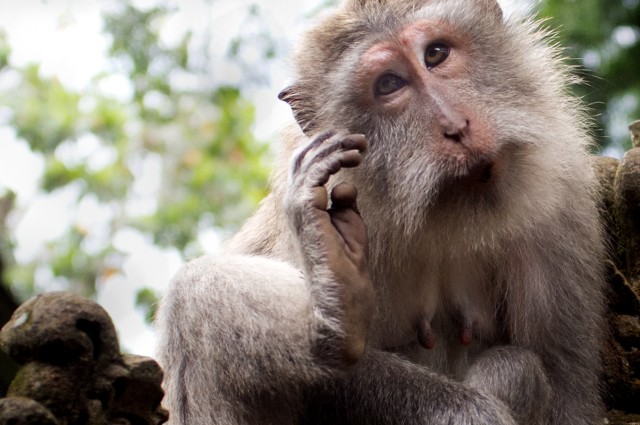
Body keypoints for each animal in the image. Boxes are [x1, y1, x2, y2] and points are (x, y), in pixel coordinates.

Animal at [156, 0, 606, 424]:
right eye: (389, 83)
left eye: (436, 54)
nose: (456, 126)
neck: (442, 210)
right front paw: (468, 411)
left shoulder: (560, 204)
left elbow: (569, 392)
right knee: (193, 295)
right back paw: (333, 323)